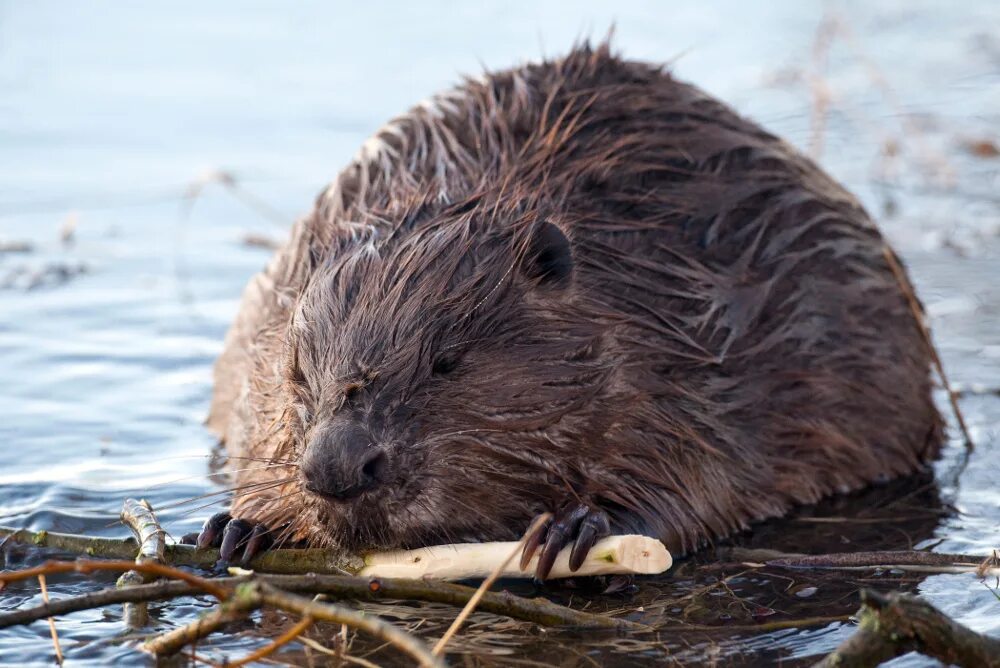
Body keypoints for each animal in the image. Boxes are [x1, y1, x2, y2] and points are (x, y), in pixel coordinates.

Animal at [199, 41, 940, 576]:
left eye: (447, 362)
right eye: (298, 370)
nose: (338, 467)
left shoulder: (694, 349)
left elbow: (699, 472)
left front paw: (578, 527)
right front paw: (243, 522)